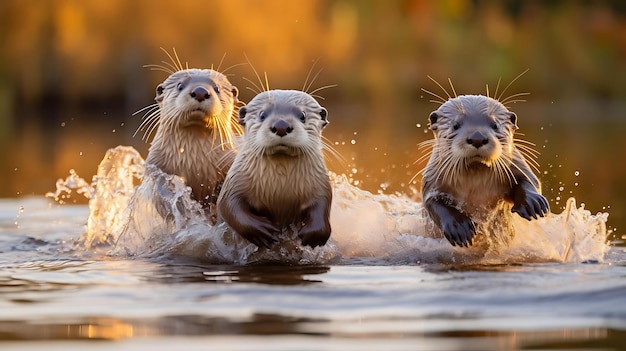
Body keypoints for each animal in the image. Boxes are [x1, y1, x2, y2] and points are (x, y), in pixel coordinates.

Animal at [216, 91, 332, 250]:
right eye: (262, 114)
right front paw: (261, 231)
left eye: (302, 115)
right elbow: (228, 205)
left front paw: (314, 233)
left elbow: (323, 201)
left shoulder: (320, 182)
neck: (279, 190)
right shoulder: (235, 181)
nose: (281, 125)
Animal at [420, 94, 544, 248]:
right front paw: (459, 227)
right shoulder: (432, 179)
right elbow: (432, 201)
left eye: (495, 125)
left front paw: (533, 202)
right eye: (455, 125)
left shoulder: (516, 163)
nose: (477, 137)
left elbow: (528, 180)